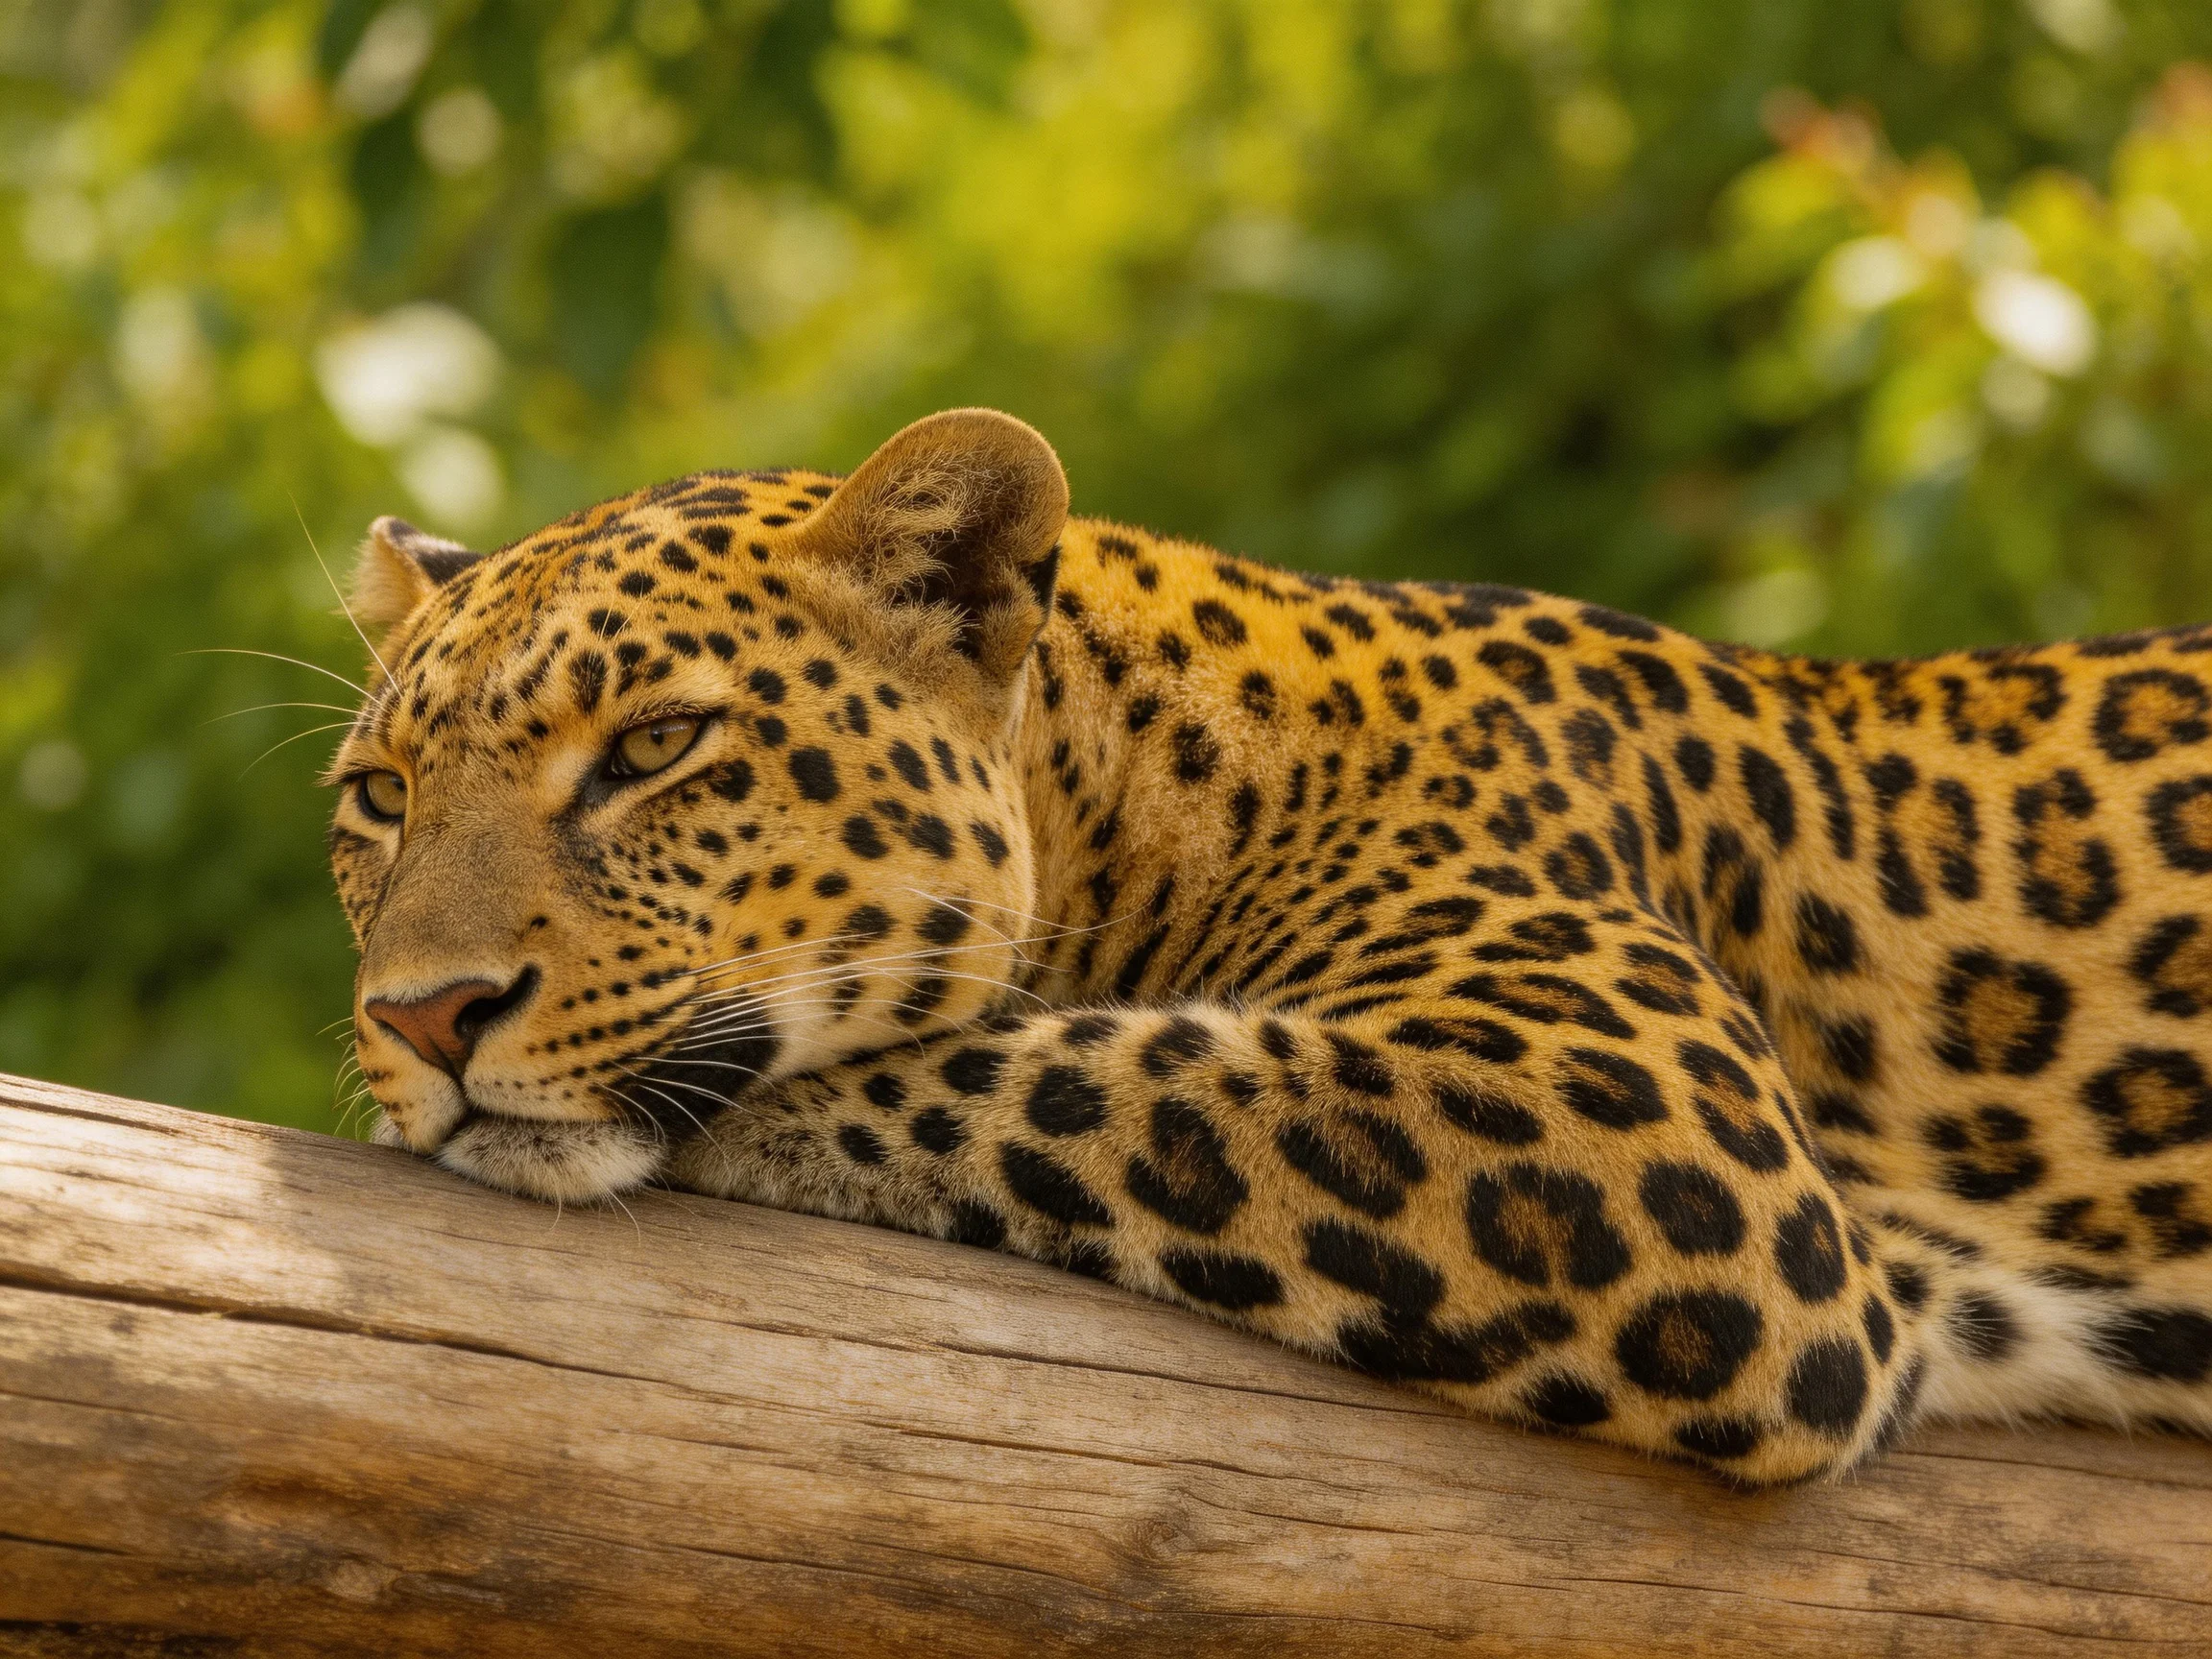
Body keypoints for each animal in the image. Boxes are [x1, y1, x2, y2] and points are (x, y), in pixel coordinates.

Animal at [330, 407, 2212, 1485]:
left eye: (655, 747)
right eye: (377, 797)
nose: (427, 1019)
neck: (1173, 787)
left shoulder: (1656, 1128)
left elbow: (1094, 1065)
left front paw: (750, 1124)